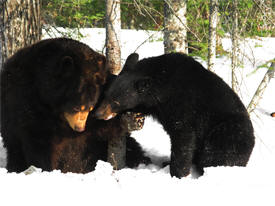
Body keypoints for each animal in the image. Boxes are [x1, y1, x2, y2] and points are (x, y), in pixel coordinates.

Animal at [0, 38, 151, 172]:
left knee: (133, 148)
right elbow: (38, 139)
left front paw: (132, 119)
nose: (79, 128)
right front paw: (45, 167)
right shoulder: (27, 101)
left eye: (90, 108)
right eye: (76, 107)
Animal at [96, 52, 256, 178]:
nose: (98, 114)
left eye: (116, 101)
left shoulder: (184, 106)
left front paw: (178, 174)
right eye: (106, 95)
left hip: (228, 133)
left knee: (216, 155)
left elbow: (184, 137)